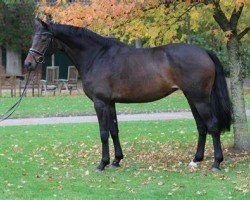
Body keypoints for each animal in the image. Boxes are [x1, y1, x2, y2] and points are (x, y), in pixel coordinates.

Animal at [24, 19, 231, 172]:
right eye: (33, 37)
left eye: (44, 38)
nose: (28, 64)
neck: (97, 56)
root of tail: (204, 51)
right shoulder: (110, 103)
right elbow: (114, 130)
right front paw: (116, 160)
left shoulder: (100, 103)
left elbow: (103, 133)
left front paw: (102, 164)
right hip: (191, 98)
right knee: (202, 127)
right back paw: (196, 160)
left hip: (200, 99)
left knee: (212, 126)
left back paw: (216, 163)